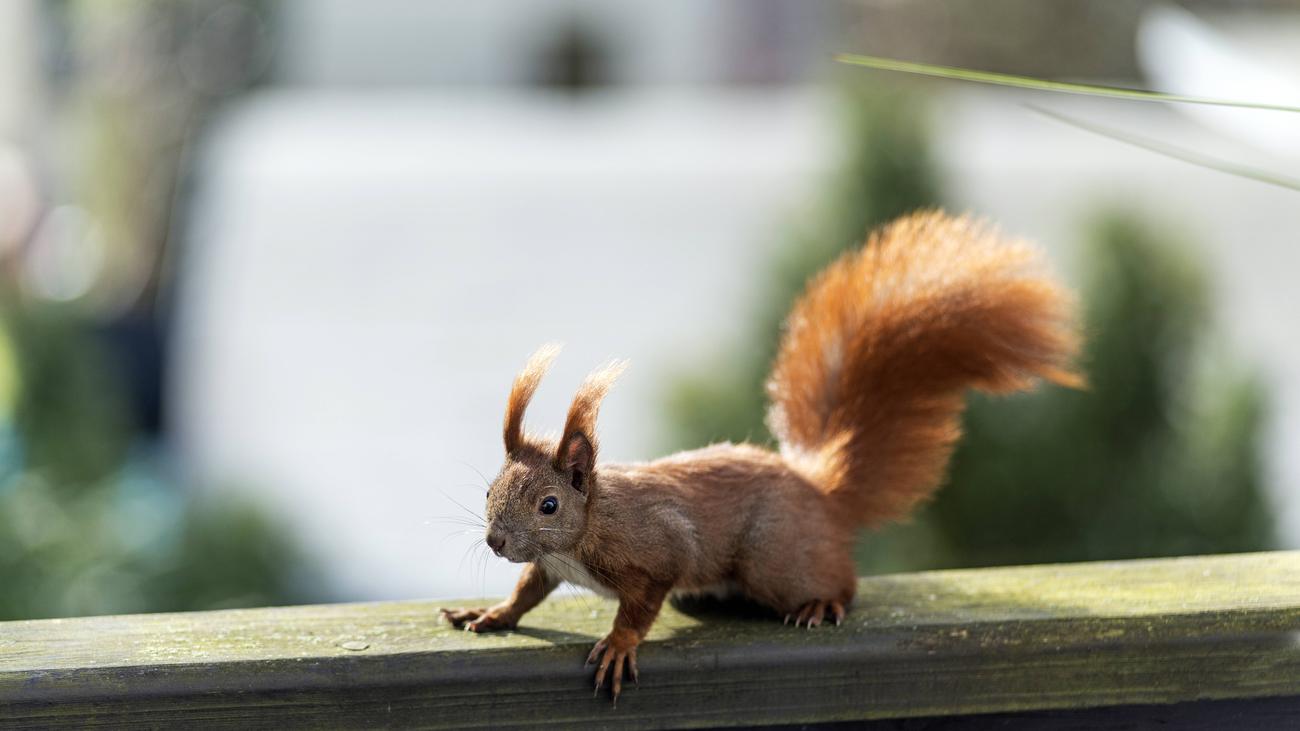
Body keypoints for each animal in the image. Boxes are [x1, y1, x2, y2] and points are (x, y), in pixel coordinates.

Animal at [441, 208, 1081, 697]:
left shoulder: (659, 546)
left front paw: (620, 644)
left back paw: (822, 604)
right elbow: (527, 590)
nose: (496, 541)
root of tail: (820, 491)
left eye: (549, 505)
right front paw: (491, 615)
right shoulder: (549, 564)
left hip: (774, 557)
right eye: (491, 490)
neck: (588, 525)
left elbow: (641, 604)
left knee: (842, 580)